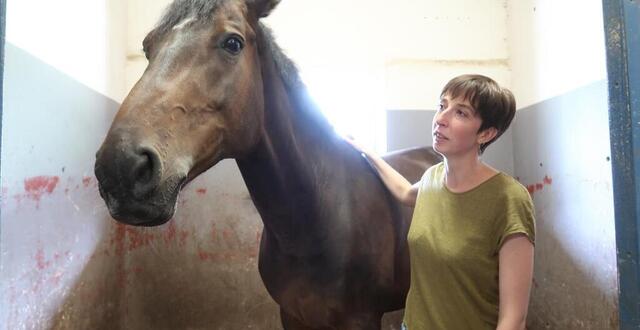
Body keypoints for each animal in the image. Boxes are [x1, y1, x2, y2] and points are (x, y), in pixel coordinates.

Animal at [95, 0, 442, 328]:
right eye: (147, 46)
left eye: (233, 43)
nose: (120, 167)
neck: (317, 217)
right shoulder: (292, 315)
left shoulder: (362, 319)